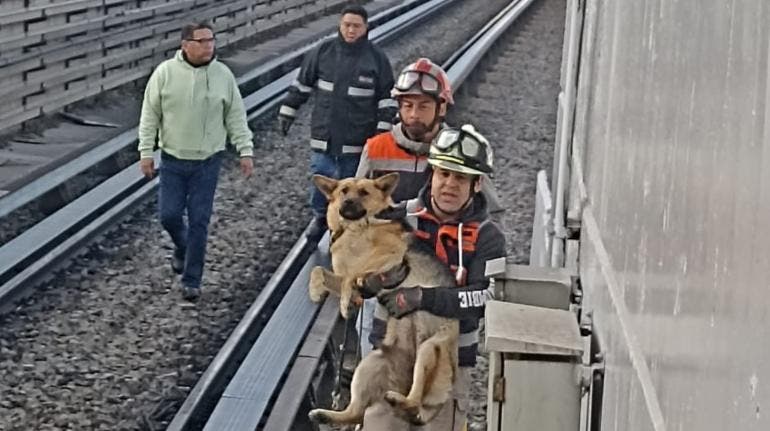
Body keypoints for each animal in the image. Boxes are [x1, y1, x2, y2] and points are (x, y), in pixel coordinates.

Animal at [306, 174, 460, 426]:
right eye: (343, 191)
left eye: (364, 192)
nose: (347, 203)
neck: (355, 227)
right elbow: (319, 270)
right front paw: (317, 291)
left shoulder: (390, 257)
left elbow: (352, 275)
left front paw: (345, 302)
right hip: (369, 365)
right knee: (356, 411)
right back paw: (325, 415)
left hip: (429, 350)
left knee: (415, 402)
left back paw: (402, 401)